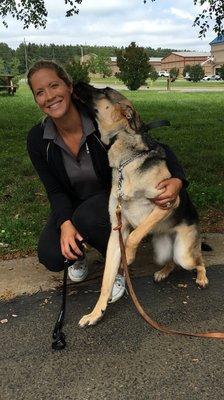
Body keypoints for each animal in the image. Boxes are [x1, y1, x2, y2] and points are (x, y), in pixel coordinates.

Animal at [75, 83, 208, 326]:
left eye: (104, 90)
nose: (76, 82)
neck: (125, 159)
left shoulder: (168, 201)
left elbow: (136, 235)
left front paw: (129, 255)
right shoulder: (117, 231)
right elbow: (106, 280)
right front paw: (96, 312)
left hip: (185, 253)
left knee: (198, 260)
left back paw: (202, 277)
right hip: (163, 250)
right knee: (171, 261)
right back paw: (163, 272)